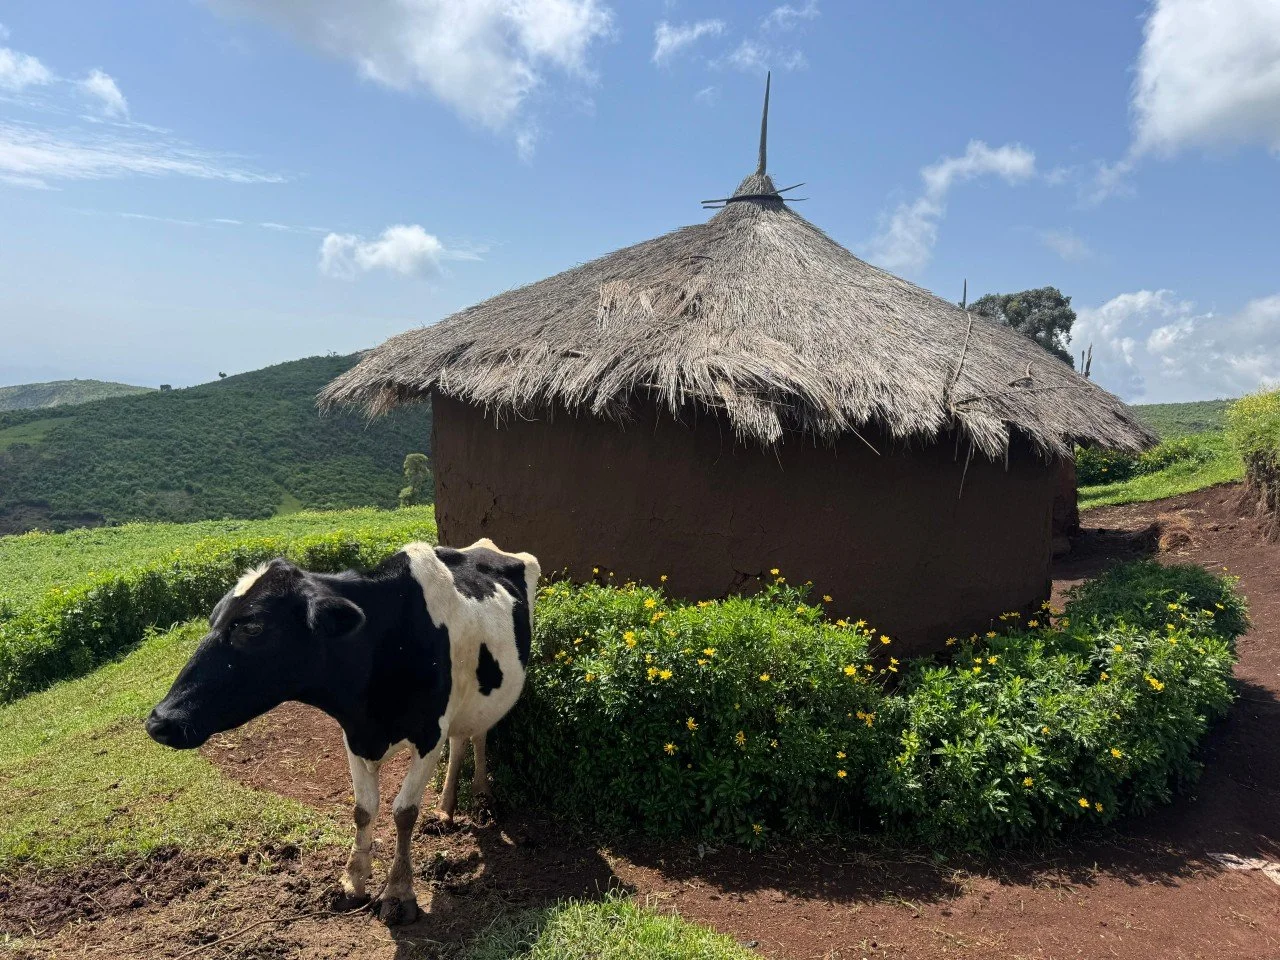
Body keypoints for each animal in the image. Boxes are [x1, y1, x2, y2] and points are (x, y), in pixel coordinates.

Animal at [144, 538, 540, 924]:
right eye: (213, 619)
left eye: (251, 627)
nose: (159, 721)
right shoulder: (354, 735)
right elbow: (363, 809)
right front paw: (352, 881)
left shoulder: (429, 733)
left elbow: (404, 812)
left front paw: (399, 893)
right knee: (462, 737)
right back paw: (445, 808)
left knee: (477, 733)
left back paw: (482, 793)